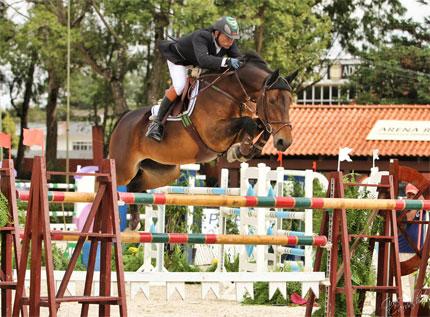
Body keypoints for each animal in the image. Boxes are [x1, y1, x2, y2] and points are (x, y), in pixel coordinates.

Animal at [109, 53, 296, 228]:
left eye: (290, 101)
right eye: (272, 101)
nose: (284, 142)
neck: (231, 94)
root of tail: (124, 118)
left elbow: (259, 125)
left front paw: (246, 149)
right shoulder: (213, 134)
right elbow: (248, 122)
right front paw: (240, 151)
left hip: (163, 171)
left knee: (134, 187)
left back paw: (133, 223)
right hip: (123, 168)